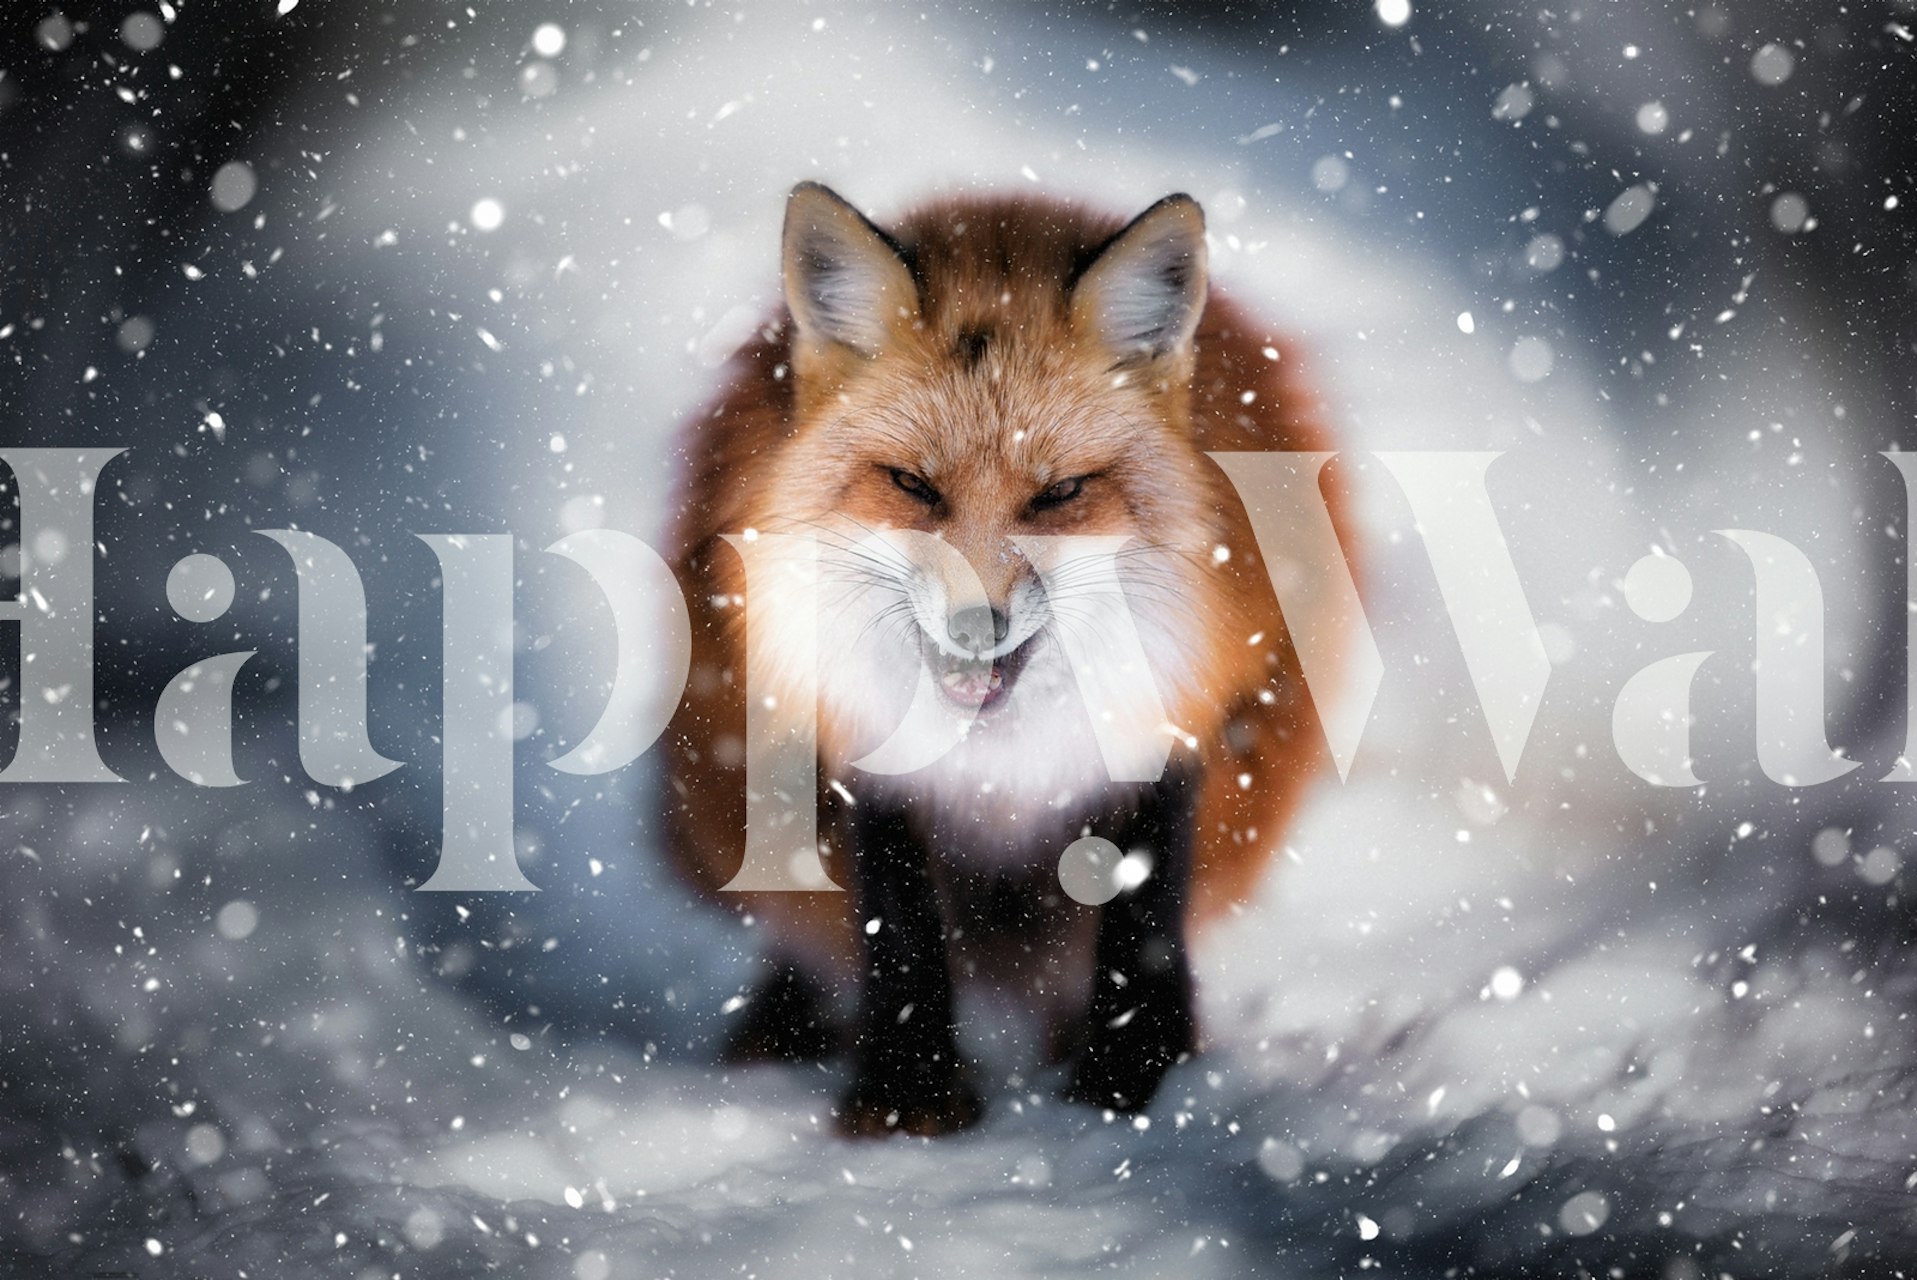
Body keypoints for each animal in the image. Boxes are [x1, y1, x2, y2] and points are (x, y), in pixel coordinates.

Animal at [659, 181, 1348, 1136]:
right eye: (913, 486)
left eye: (1059, 494)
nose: (974, 624)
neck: (1001, 759)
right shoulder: (864, 749)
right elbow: (901, 929)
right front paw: (909, 1102)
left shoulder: (1166, 724)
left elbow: (1141, 922)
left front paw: (1134, 1088)